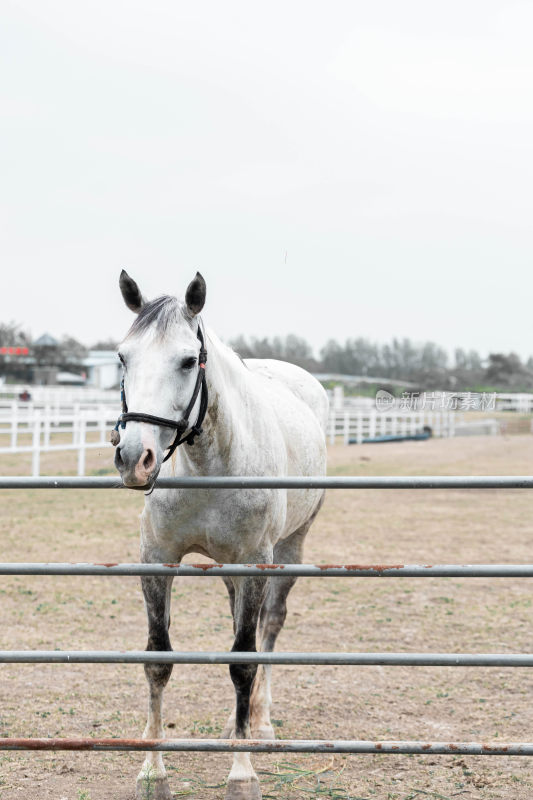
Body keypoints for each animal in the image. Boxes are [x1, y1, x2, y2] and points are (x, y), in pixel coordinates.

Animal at [114, 272, 326, 796]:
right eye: (123, 357)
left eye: (188, 360)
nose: (134, 458)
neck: (208, 465)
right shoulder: (157, 558)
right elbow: (158, 659)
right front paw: (152, 771)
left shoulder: (255, 563)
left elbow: (243, 661)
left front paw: (242, 773)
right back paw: (238, 723)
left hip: (287, 550)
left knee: (269, 626)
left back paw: (260, 723)